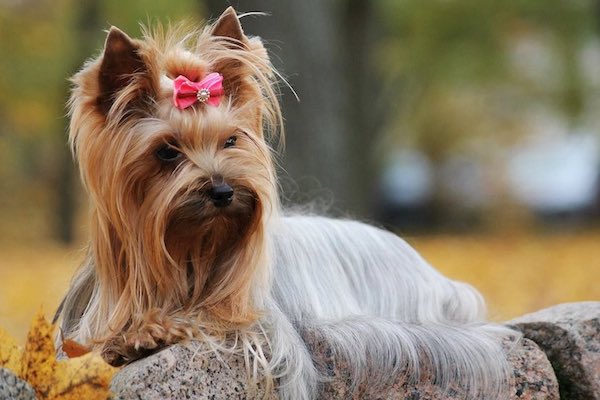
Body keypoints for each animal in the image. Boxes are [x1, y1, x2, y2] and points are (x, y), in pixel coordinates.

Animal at [55, 7, 516, 398]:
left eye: (231, 140)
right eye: (166, 152)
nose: (223, 192)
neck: (189, 251)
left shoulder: (263, 326)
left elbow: (218, 317)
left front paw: (160, 327)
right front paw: (136, 332)